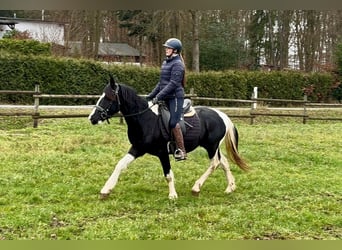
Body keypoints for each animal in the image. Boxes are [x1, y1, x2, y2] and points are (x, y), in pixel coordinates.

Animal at [88, 76, 248, 199]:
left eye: (109, 97)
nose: (92, 118)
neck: (145, 119)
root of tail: (221, 115)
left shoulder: (162, 152)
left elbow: (168, 174)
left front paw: (172, 195)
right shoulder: (137, 148)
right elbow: (120, 165)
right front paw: (106, 190)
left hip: (211, 146)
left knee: (214, 163)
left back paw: (196, 187)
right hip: (214, 147)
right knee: (223, 162)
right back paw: (230, 187)